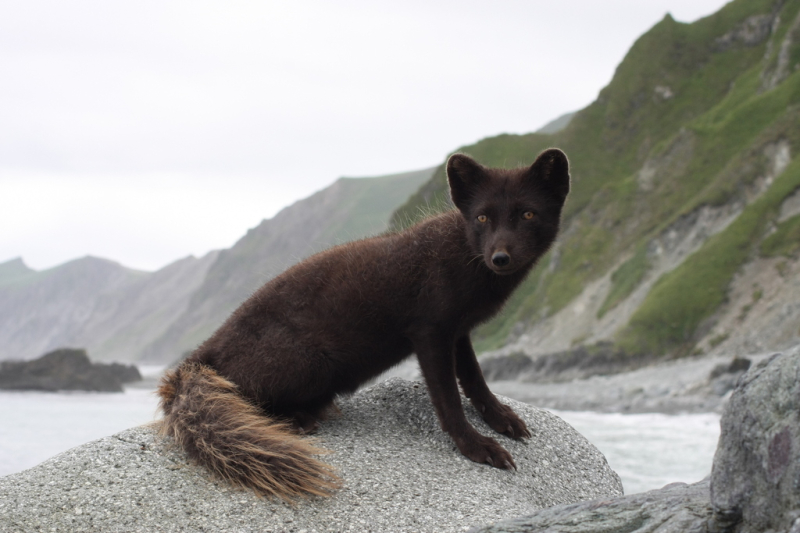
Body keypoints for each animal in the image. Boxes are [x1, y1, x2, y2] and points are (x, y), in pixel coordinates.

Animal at [157, 148, 570, 500]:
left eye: (528, 214)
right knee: (251, 401)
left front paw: (502, 419)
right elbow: (449, 400)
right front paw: (476, 447)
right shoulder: (430, 332)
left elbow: (476, 381)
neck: (464, 258)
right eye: (482, 217)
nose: (499, 257)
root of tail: (200, 355)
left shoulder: (459, 331)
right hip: (314, 362)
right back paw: (299, 420)